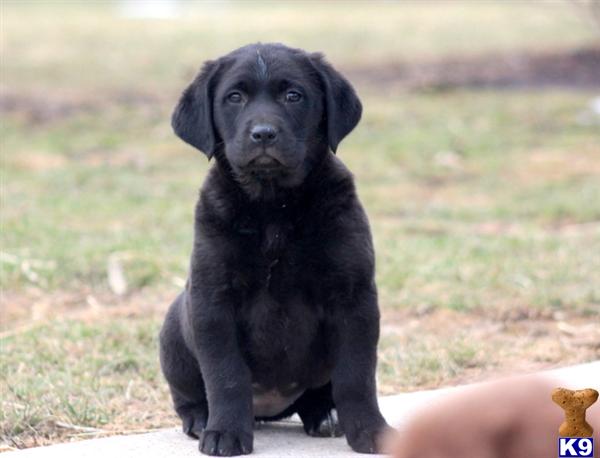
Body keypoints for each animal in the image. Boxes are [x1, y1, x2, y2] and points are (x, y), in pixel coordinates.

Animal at [159, 42, 390, 454]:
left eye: (293, 96)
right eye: (234, 97)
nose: (263, 134)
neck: (273, 208)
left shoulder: (354, 297)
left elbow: (356, 377)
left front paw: (369, 431)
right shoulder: (212, 299)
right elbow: (226, 375)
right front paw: (226, 433)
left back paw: (326, 415)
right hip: (174, 327)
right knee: (188, 396)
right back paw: (201, 419)